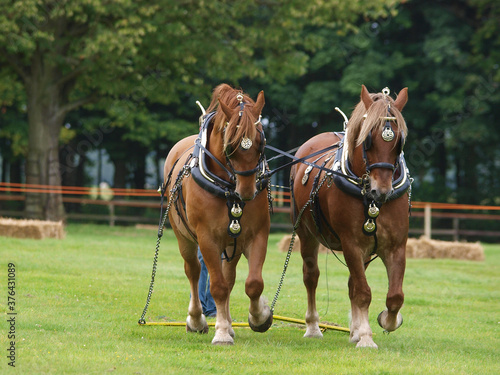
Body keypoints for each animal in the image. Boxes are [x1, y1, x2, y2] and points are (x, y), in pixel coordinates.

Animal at [163, 83, 274, 346]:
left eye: (260, 142)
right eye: (230, 145)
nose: (247, 191)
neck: (229, 190)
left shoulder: (257, 234)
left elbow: (253, 284)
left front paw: (259, 316)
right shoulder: (207, 239)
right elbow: (217, 287)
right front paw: (221, 332)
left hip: (232, 242)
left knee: (229, 276)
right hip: (185, 237)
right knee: (193, 271)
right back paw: (196, 320)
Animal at [290, 85, 410, 350]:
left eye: (399, 141)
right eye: (368, 139)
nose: (381, 191)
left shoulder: (395, 246)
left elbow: (394, 296)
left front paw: (386, 321)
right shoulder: (352, 244)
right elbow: (364, 293)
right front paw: (365, 337)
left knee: (352, 284)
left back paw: (354, 329)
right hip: (306, 234)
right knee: (311, 277)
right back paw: (313, 327)